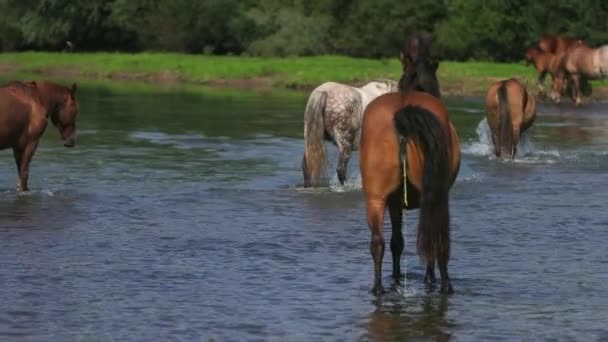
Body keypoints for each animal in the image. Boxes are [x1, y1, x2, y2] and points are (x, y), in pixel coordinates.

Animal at [358, 36, 458, 296]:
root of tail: (401, 115)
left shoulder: (394, 203)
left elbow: (397, 242)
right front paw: (429, 279)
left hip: (376, 198)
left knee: (378, 242)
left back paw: (379, 287)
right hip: (436, 195)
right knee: (437, 239)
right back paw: (444, 284)